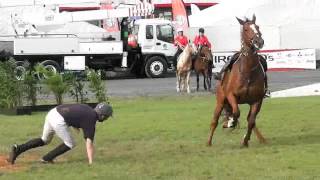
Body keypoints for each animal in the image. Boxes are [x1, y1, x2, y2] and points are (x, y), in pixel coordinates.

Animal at [208, 15, 268, 148]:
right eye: (245, 29)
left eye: (257, 26)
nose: (259, 41)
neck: (248, 71)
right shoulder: (231, 95)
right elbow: (236, 112)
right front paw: (230, 123)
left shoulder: (257, 100)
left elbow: (251, 121)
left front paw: (245, 141)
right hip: (220, 100)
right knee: (214, 121)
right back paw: (208, 142)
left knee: (251, 120)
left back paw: (260, 139)